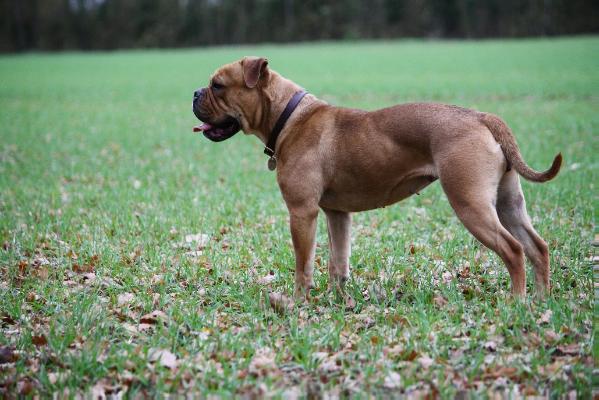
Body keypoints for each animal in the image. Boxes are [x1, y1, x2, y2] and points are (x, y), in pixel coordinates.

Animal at [191, 56, 564, 300]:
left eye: (217, 85)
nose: (194, 93)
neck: (288, 115)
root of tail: (482, 116)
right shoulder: (337, 215)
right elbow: (338, 262)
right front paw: (337, 300)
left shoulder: (302, 213)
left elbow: (303, 263)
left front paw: (299, 301)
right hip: (508, 204)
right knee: (537, 247)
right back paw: (541, 300)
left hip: (471, 204)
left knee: (514, 250)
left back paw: (516, 302)